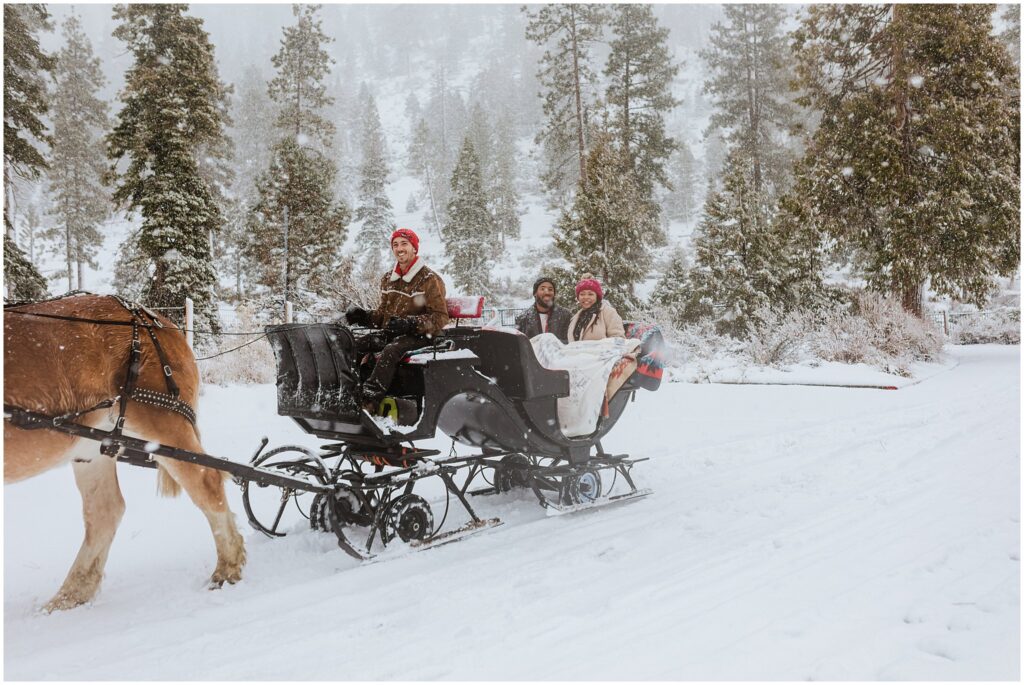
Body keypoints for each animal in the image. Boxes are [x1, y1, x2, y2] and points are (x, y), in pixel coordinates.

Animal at [3, 290, 245, 610]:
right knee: (105, 511)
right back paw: (67, 598)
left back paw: (228, 566)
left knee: (208, 480)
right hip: (93, 448)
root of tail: (156, 321)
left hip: (162, 425)